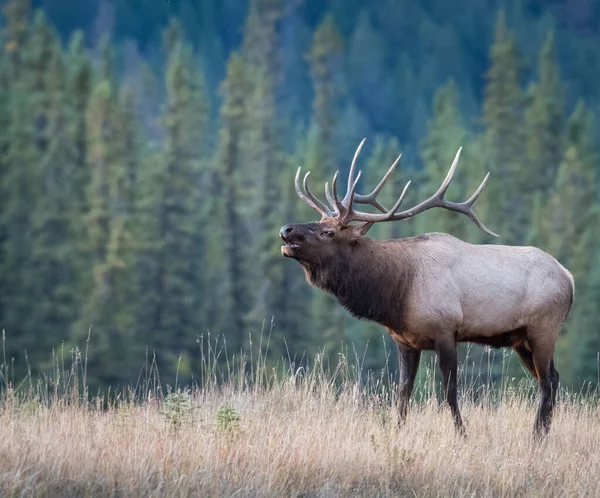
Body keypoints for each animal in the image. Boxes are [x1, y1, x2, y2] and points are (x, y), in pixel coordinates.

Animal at [284, 139, 576, 436]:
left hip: (543, 328)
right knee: (553, 378)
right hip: (521, 339)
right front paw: (398, 431)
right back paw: (542, 433)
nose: (286, 230)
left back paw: (537, 436)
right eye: (319, 222)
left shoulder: (446, 331)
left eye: (328, 232)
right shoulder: (405, 340)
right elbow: (403, 392)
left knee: (547, 381)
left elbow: (449, 392)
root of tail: (569, 278)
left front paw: (462, 434)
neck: (398, 292)